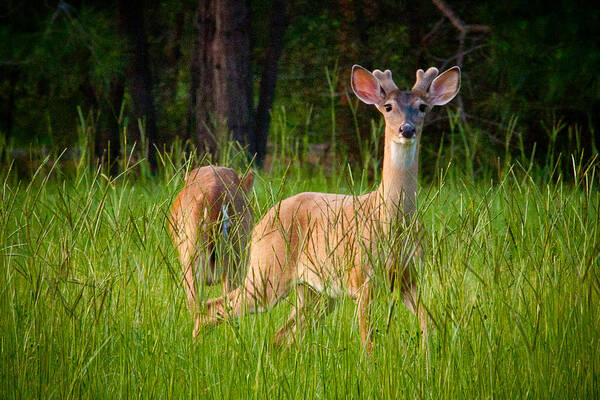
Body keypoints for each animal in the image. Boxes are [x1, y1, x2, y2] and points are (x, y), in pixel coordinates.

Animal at [197, 64, 460, 352]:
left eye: (422, 107)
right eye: (388, 107)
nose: (407, 129)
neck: (391, 220)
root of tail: (262, 221)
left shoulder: (409, 277)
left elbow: (429, 323)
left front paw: (428, 354)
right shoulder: (362, 276)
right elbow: (367, 339)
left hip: (315, 291)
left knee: (281, 334)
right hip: (267, 270)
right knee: (213, 307)